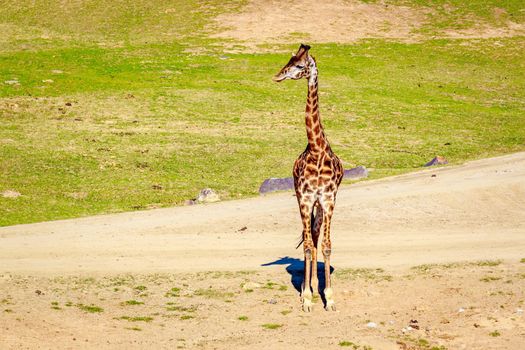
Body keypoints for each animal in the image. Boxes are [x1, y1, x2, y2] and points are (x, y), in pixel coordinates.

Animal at [274, 43, 344, 312]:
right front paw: (306, 298)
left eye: (301, 65)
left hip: (320, 205)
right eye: (289, 60)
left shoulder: (328, 199)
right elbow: (306, 245)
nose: (279, 75)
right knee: (308, 239)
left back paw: (316, 286)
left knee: (315, 236)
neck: (316, 149)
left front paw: (330, 298)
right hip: (302, 199)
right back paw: (309, 288)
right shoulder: (305, 198)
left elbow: (326, 245)